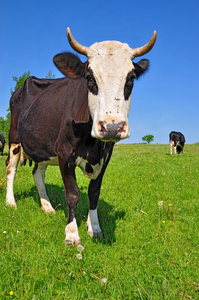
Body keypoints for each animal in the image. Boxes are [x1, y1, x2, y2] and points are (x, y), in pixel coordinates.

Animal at [5, 27, 157, 244]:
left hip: (43, 145)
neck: (92, 144)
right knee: (11, 168)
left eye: (130, 80)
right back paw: (11, 202)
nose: (112, 127)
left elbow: (94, 192)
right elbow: (72, 193)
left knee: (38, 172)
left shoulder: (106, 154)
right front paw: (71, 234)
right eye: (90, 78)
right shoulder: (64, 153)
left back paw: (47, 206)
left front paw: (95, 228)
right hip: (14, 138)